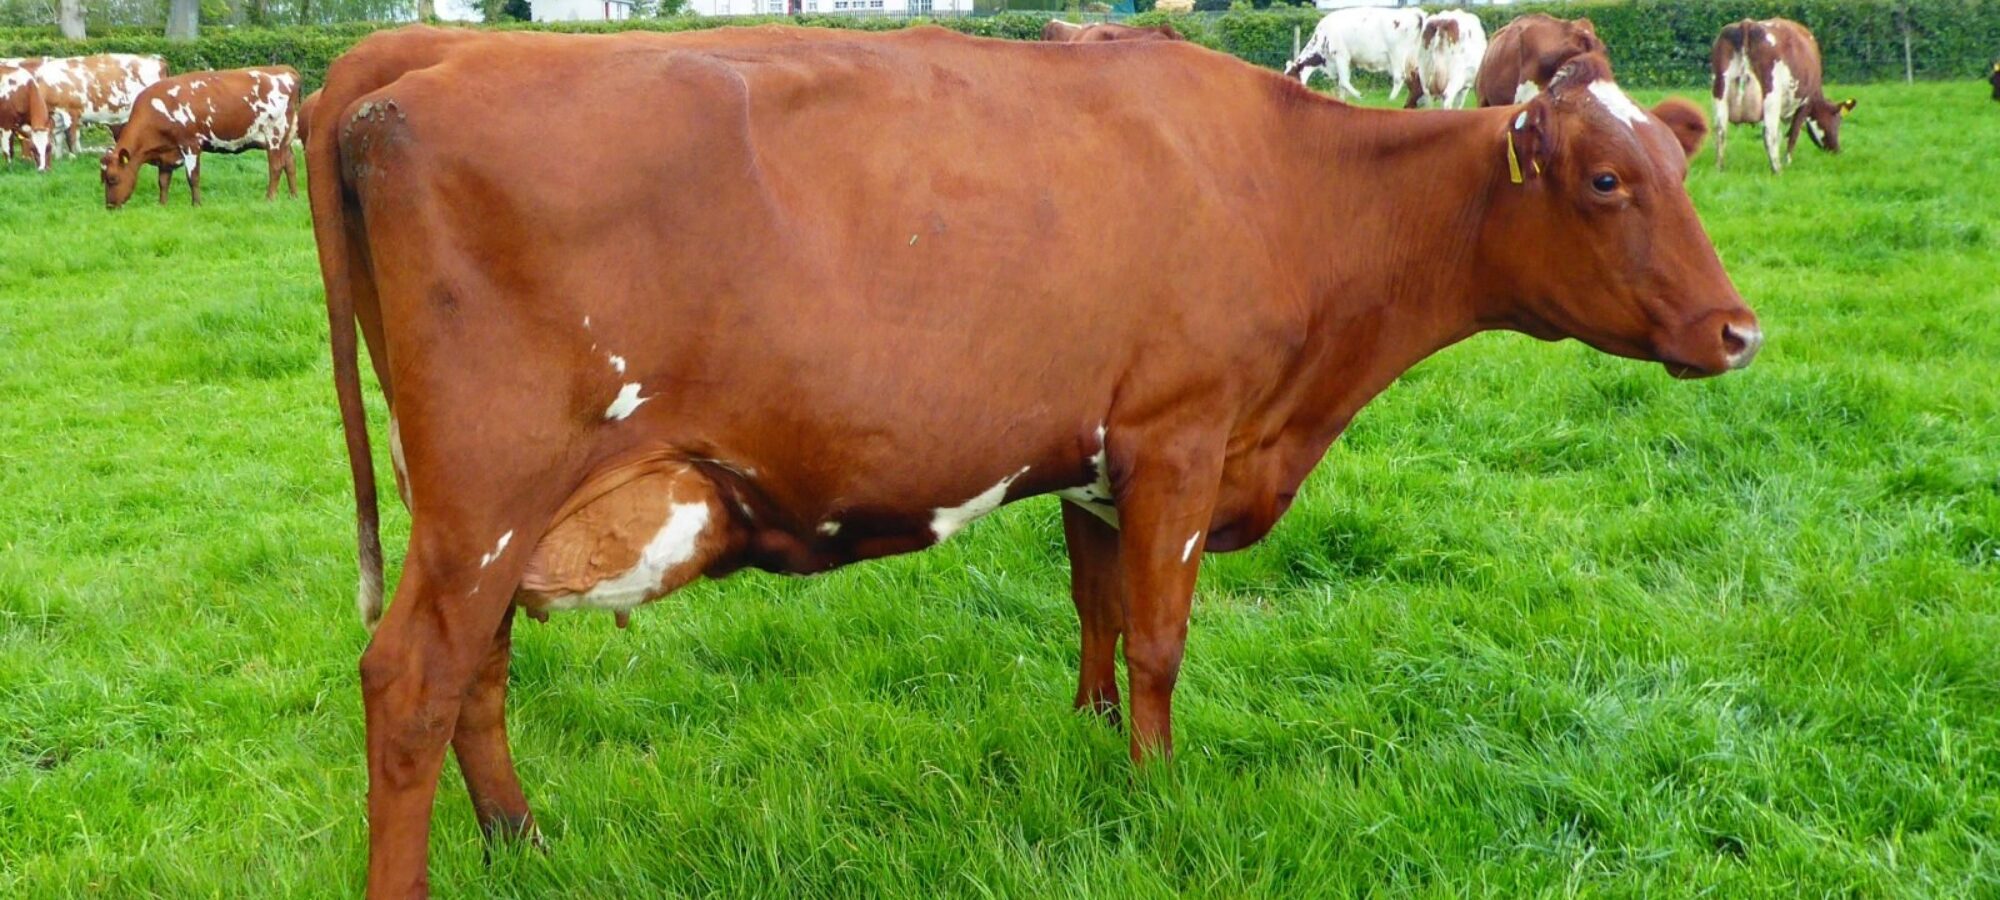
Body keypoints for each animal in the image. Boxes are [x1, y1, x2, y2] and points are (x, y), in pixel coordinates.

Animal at [19, 53, 167, 154]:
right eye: (32, 147)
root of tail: (155, 58)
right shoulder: (57, 115)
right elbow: (58, 137)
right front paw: (59, 157)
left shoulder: (72, 112)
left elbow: (71, 136)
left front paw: (74, 155)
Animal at [100, 66, 301, 208]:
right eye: (102, 179)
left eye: (113, 178)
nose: (109, 206)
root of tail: (285, 70)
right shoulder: (166, 152)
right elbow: (163, 181)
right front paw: (162, 205)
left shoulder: (190, 144)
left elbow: (193, 177)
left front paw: (196, 204)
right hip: (286, 138)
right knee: (290, 162)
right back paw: (293, 196)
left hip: (274, 134)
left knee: (276, 167)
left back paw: (270, 198)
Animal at [311, 27, 1757, 896]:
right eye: (1606, 181)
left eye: (1680, 162)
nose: (1736, 330)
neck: (1282, 183)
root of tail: (413, 61)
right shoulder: (1180, 431)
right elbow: (1162, 634)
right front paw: (1160, 793)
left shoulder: (1095, 452)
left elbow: (1098, 608)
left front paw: (1092, 743)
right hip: (491, 493)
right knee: (411, 681)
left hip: (476, 511)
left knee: (475, 670)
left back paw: (518, 836)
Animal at [1284, 7, 1426, 101]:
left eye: (1290, 76)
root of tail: (1414, 12)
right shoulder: (1347, 62)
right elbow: (1342, 83)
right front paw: (1341, 100)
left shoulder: (1341, 56)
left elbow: (1344, 81)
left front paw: (1359, 95)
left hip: (1398, 54)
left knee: (1399, 77)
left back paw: (1391, 100)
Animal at [1711, 19, 1855, 173]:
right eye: (1838, 120)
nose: (1837, 150)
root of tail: (1748, 23)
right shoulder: (1805, 103)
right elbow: (1793, 134)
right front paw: (1787, 162)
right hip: (1771, 96)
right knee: (1769, 133)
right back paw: (1777, 170)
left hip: (1720, 90)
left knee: (1720, 130)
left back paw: (1720, 168)